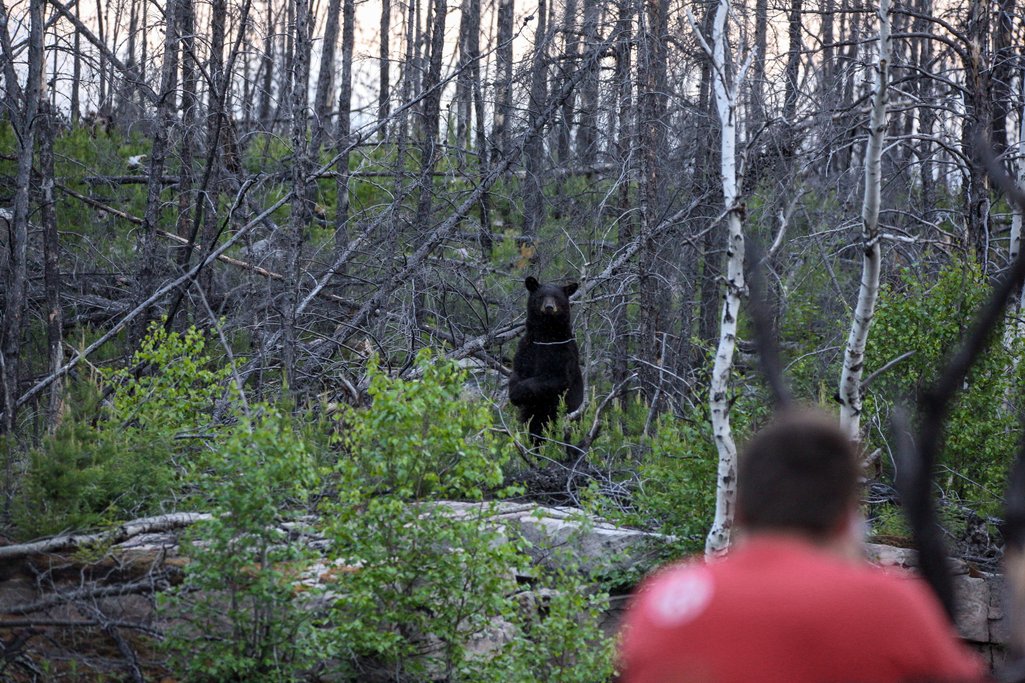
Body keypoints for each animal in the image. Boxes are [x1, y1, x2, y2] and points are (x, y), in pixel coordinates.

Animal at [508, 276, 584, 444]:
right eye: (541, 296)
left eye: (556, 297)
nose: (549, 307)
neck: (545, 333)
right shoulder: (526, 347)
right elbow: (517, 371)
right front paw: (513, 392)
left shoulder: (562, 350)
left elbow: (556, 377)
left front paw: (518, 392)